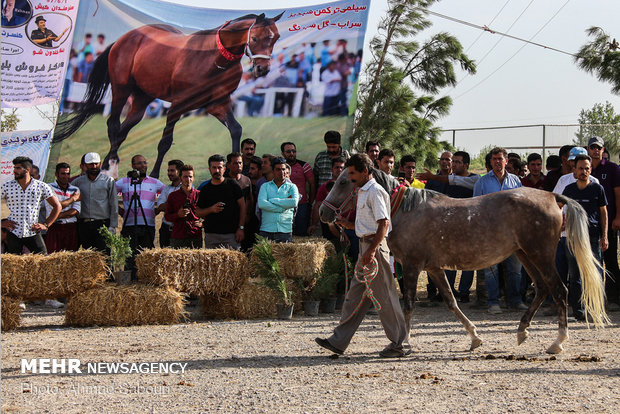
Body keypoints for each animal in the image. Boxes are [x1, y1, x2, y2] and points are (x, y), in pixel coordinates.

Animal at [55, 12, 284, 178]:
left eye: (276, 38)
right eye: (255, 37)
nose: (263, 69)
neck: (212, 58)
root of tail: (125, 38)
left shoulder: (218, 103)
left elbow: (236, 129)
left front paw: (236, 168)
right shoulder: (178, 104)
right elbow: (165, 141)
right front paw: (156, 175)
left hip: (142, 97)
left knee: (123, 130)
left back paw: (109, 164)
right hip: (121, 89)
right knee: (113, 125)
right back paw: (109, 169)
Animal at [320, 168, 612, 352]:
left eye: (345, 181)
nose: (324, 212)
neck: (407, 209)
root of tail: (552, 195)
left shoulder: (413, 266)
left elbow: (408, 305)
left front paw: (405, 342)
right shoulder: (434, 268)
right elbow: (451, 302)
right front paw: (474, 338)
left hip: (540, 255)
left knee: (559, 290)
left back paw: (557, 343)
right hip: (524, 254)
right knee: (541, 289)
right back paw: (522, 332)